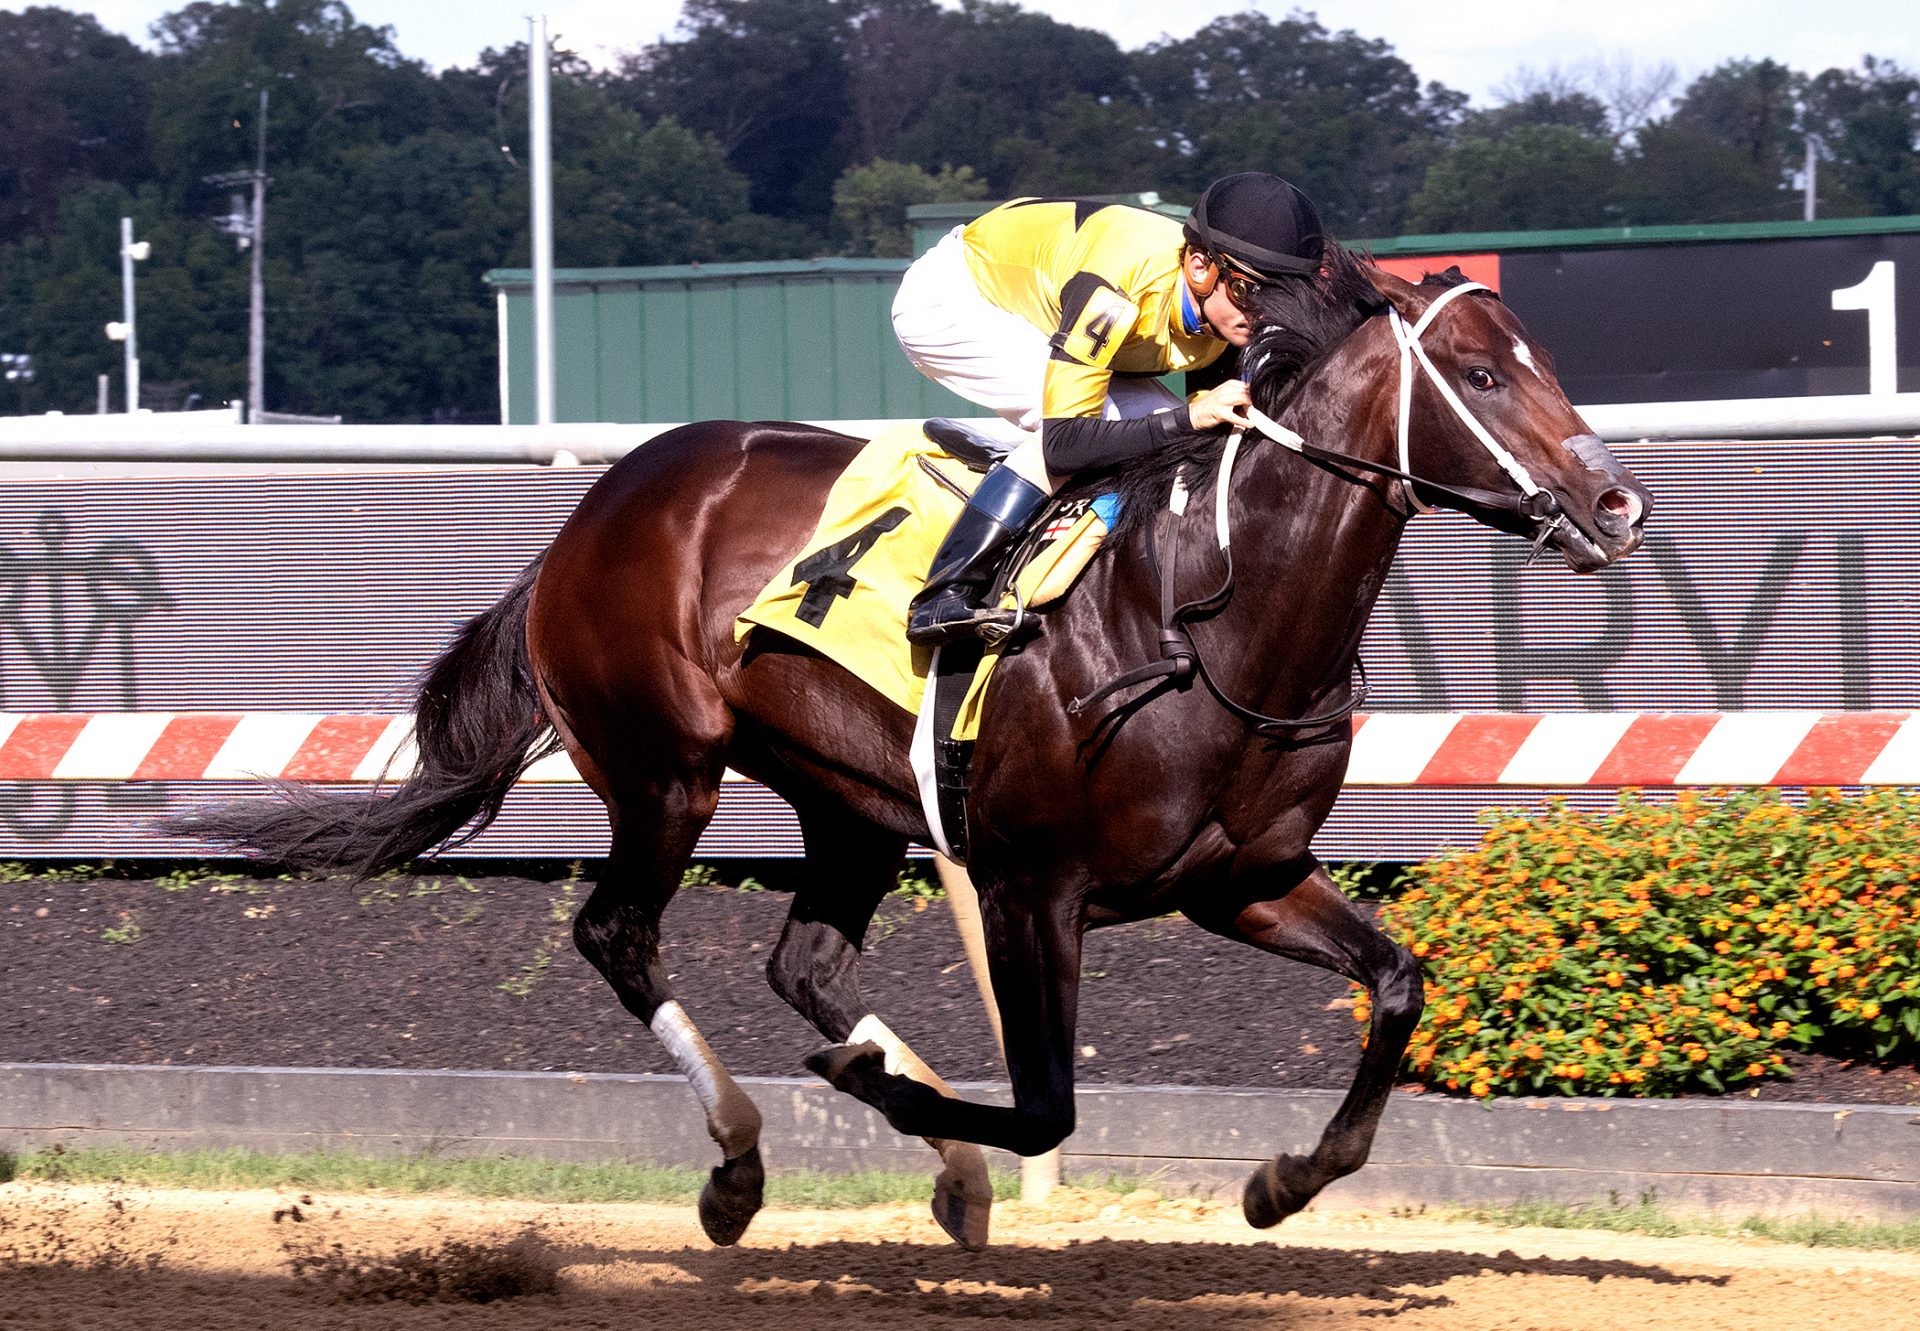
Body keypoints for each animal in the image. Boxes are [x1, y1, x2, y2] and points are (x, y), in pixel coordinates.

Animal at [180, 257, 1651, 1244]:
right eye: (1479, 373)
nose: (1617, 501)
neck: (1212, 615)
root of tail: (592, 511)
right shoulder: (1031, 885)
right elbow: (1048, 1102)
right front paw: (882, 1097)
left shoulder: (1241, 876)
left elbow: (1397, 982)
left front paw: (1283, 1178)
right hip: (665, 770)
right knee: (619, 935)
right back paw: (743, 1161)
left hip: (847, 795)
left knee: (804, 963)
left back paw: (930, 1152)